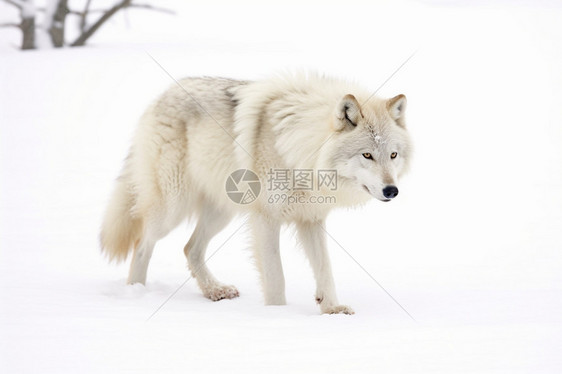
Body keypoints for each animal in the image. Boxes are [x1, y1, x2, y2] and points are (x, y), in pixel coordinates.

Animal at [98, 72, 410, 312]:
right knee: (142, 243)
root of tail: (162, 94)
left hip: (221, 213)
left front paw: (332, 309)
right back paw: (136, 292)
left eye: (393, 155)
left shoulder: (310, 219)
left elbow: (325, 269)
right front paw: (276, 316)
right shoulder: (266, 220)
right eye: (367, 154)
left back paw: (215, 291)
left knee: (190, 248)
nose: (391, 190)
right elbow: (276, 278)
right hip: (172, 209)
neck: (301, 151)